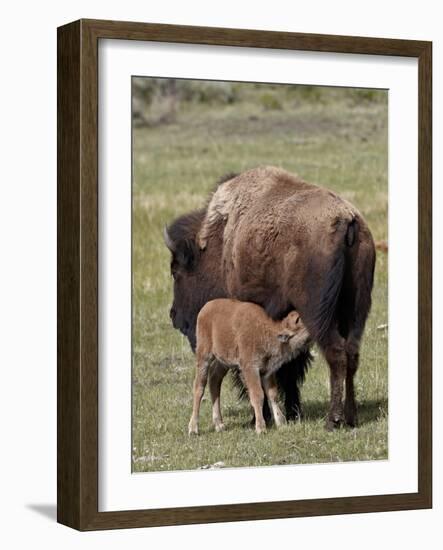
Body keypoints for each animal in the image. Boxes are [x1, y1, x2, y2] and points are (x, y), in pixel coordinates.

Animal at [189, 300, 310, 438]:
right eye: (299, 320)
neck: (268, 330)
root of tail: (206, 307)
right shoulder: (250, 369)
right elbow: (258, 395)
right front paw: (261, 428)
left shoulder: (267, 372)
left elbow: (273, 394)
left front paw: (281, 423)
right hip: (204, 356)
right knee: (199, 387)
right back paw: (193, 429)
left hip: (223, 362)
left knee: (214, 381)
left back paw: (219, 425)